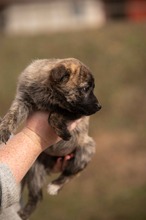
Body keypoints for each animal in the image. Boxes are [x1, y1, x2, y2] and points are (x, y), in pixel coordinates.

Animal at [0, 58, 101, 220]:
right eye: (85, 88)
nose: (99, 106)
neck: (48, 92)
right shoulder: (23, 99)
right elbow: (12, 114)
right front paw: (4, 128)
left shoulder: (75, 111)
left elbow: (54, 114)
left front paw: (64, 132)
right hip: (34, 169)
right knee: (37, 197)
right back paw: (23, 213)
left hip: (86, 149)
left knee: (71, 173)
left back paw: (55, 186)